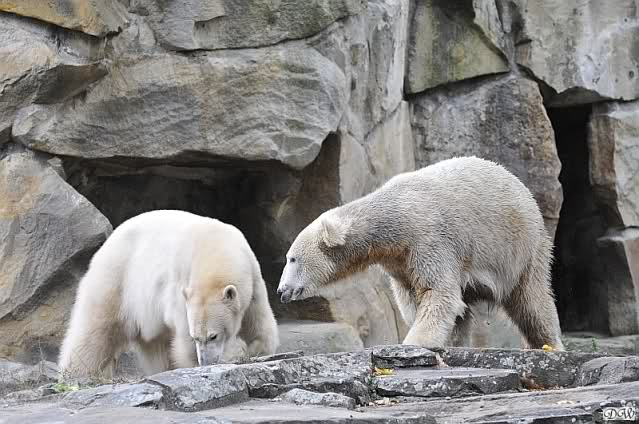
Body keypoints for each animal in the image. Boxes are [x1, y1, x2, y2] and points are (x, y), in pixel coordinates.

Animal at [58, 209, 279, 380]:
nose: (206, 362)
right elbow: (183, 336)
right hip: (117, 278)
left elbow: (258, 321)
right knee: (96, 328)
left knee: (156, 344)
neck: (213, 246)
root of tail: (107, 243)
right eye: (196, 337)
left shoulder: (252, 276)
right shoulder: (181, 290)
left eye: (213, 336)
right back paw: (77, 373)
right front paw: (193, 365)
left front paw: (255, 350)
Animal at [277, 156, 565, 351]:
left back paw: (548, 345)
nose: (281, 290)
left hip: (522, 246)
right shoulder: (399, 258)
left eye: (293, 259)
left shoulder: (429, 238)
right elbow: (414, 296)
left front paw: (414, 343)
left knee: (531, 301)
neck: (395, 216)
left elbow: (437, 292)